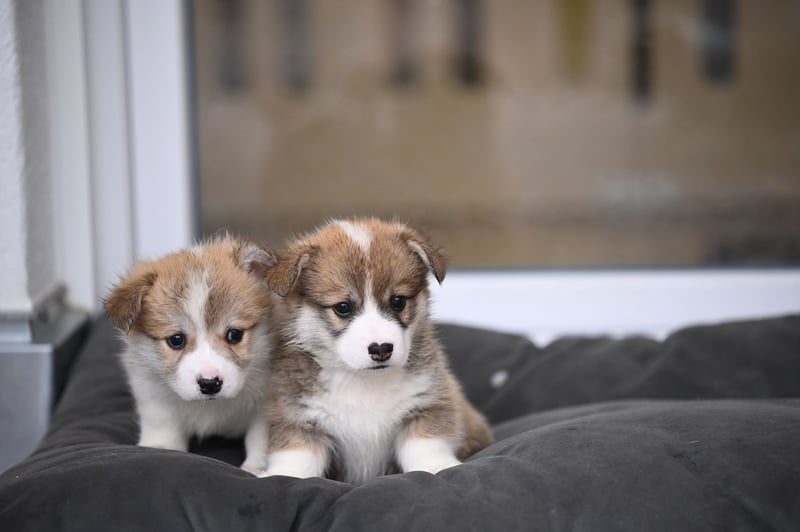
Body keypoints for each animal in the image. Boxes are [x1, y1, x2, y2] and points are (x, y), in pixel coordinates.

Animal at [104, 237, 277, 474]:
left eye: (234, 334)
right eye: (176, 339)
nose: (210, 383)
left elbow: (260, 438)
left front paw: (256, 468)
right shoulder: (155, 397)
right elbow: (163, 432)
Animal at [260, 218, 493, 483]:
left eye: (398, 301)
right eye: (342, 307)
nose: (381, 349)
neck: (363, 381)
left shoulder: (425, 403)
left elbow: (425, 443)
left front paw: (436, 467)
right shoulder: (301, 420)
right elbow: (297, 457)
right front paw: (282, 475)